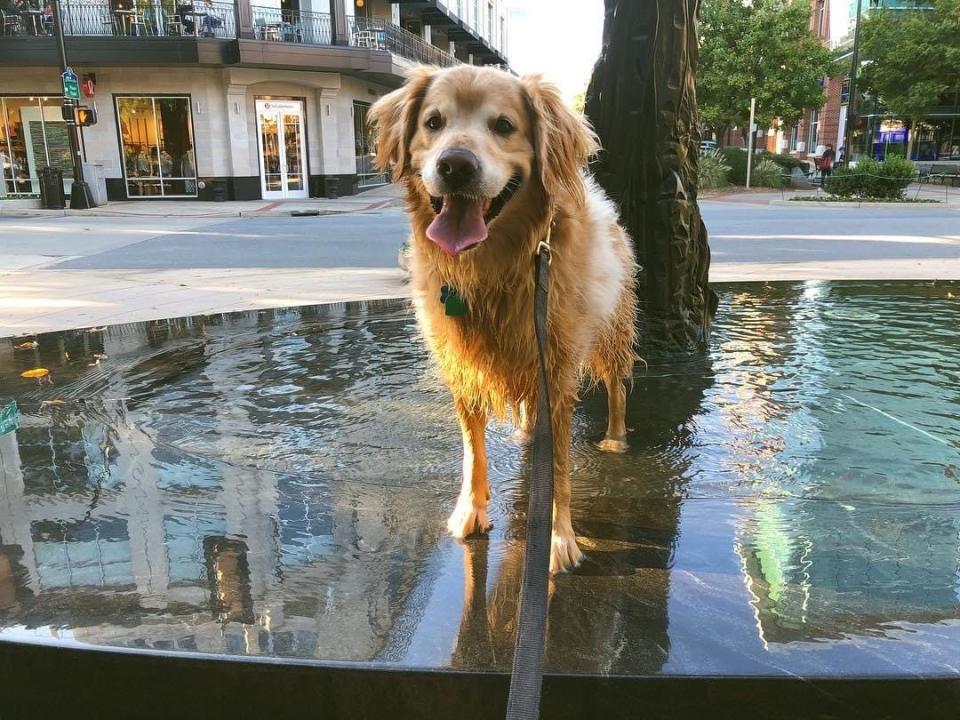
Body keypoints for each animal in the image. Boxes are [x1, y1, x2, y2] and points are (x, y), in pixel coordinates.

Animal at [370, 66, 636, 572]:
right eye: (433, 122)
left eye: (504, 126)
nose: (455, 166)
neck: (494, 266)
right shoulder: (462, 365)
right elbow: (473, 453)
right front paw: (470, 512)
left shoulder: (558, 369)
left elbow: (558, 467)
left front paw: (557, 537)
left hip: (610, 333)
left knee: (616, 388)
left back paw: (615, 439)